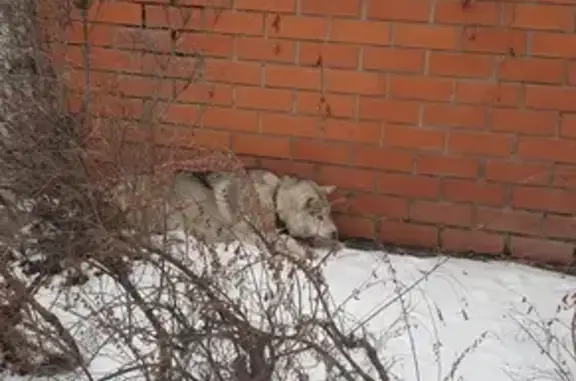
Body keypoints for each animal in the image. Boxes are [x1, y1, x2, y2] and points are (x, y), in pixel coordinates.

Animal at [110, 168, 340, 252]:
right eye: (319, 217)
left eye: (329, 214)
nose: (336, 232)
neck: (274, 199)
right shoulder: (247, 233)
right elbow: (287, 242)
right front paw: (302, 252)